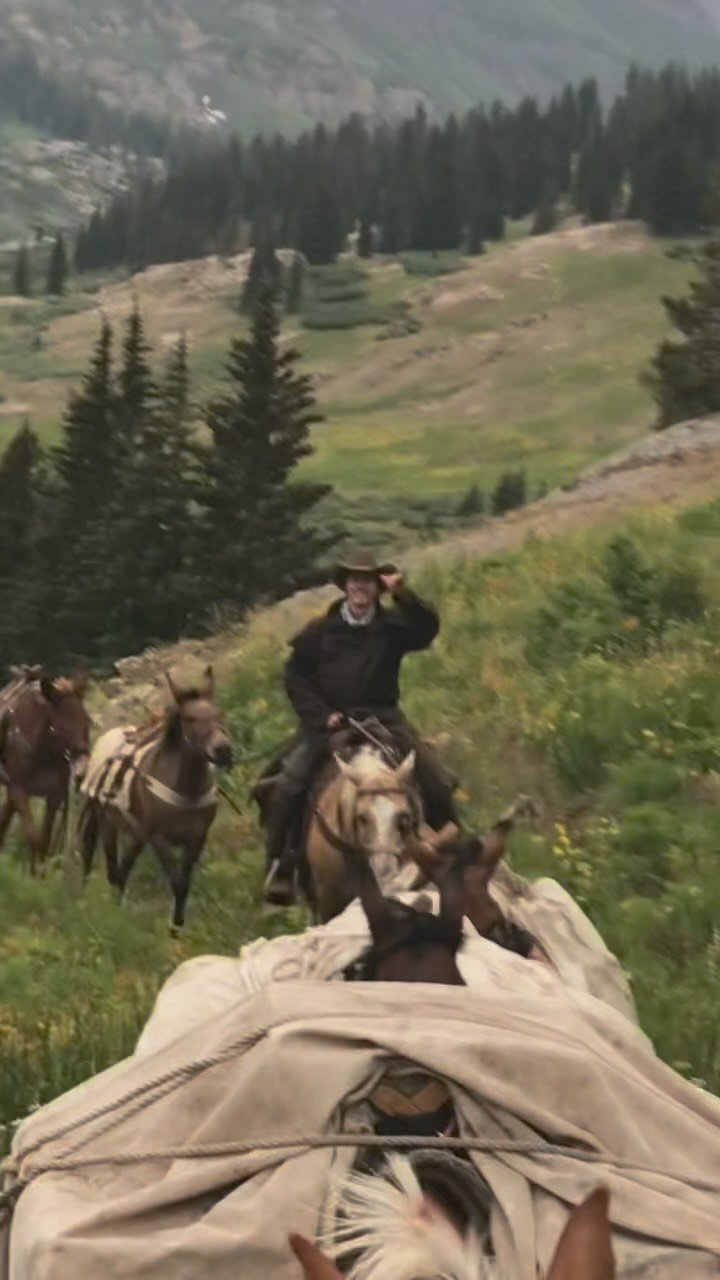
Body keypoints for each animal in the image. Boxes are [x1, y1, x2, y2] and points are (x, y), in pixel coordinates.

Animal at [0, 671, 91, 874]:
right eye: (61, 726)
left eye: (87, 721)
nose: (82, 769)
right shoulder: (18, 791)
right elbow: (34, 837)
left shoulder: (55, 796)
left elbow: (45, 840)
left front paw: (39, 874)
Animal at [78, 666, 233, 930]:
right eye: (189, 718)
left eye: (217, 712)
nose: (223, 750)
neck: (186, 790)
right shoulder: (159, 838)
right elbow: (177, 881)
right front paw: (174, 927)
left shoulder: (196, 839)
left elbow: (184, 883)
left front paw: (178, 926)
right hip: (109, 824)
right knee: (113, 869)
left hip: (137, 835)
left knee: (123, 870)